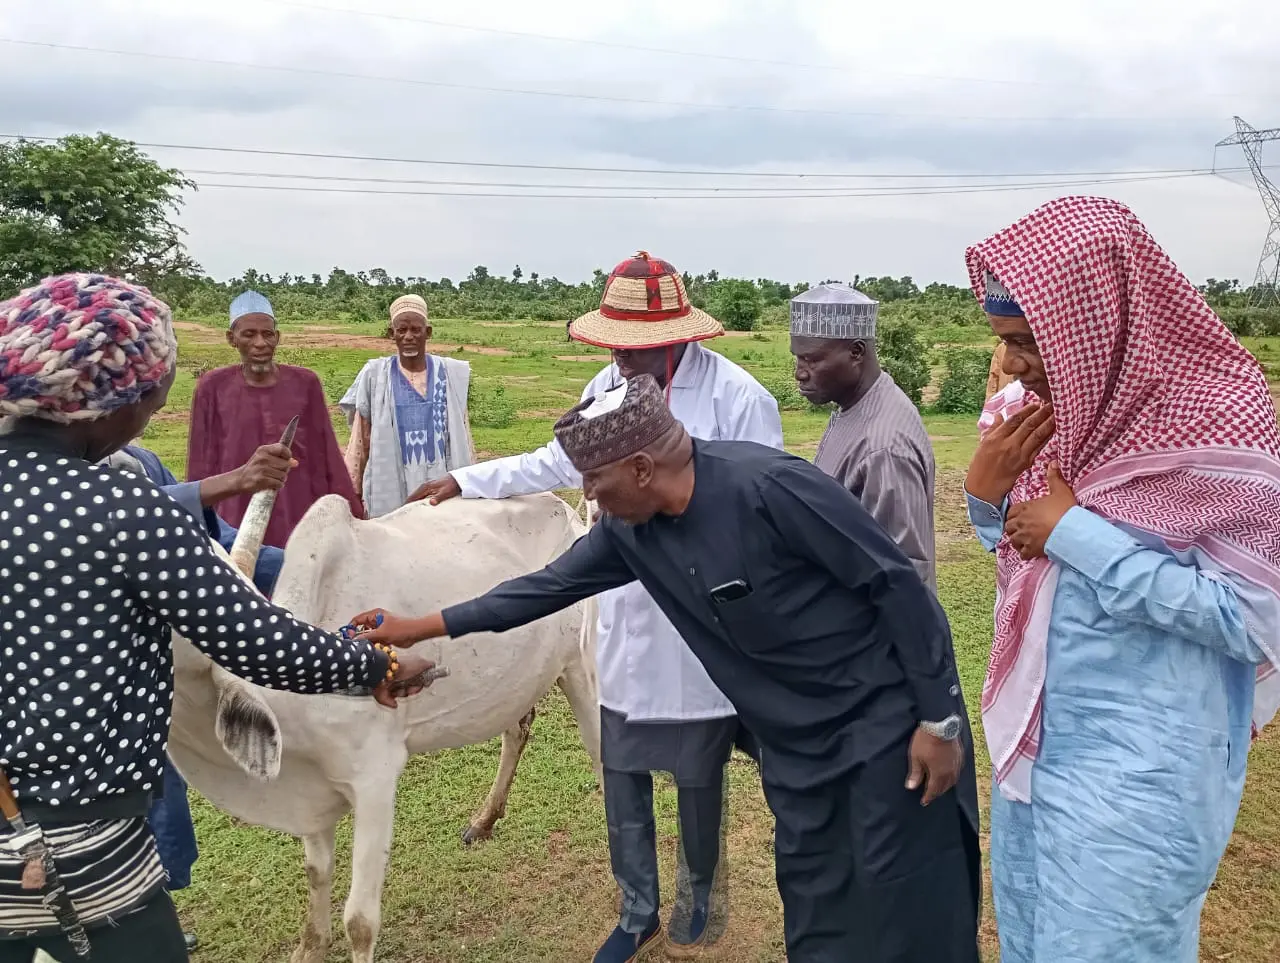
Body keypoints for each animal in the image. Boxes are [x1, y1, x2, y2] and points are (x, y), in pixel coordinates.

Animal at [165, 491, 599, 957]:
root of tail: (565, 509)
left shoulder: (374, 779)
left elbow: (359, 921)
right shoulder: (310, 792)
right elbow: (316, 872)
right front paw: (310, 947)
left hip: (580, 668)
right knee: (518, 727)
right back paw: (484, 820)